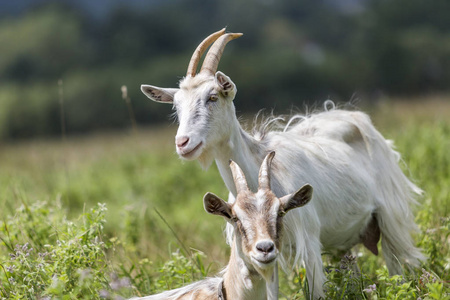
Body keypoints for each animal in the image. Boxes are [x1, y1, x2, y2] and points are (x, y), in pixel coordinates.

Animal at [142, 28, 426, 298]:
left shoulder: (308, 244)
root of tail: (352, 117)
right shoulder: (264, 250)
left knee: (397, 268)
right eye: (176, 106)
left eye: (213, 97)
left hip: (389, 218)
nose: (183, 142)